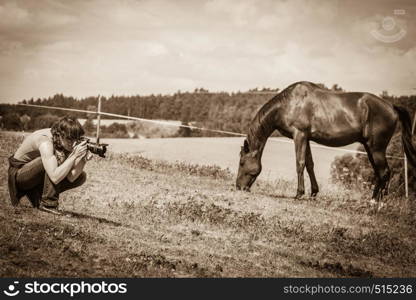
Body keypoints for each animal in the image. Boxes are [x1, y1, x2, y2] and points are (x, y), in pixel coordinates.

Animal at [236, 80, 414, 202]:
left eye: (242, 163)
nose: (238, 187)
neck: (289, 104)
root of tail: (391, 106)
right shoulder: (306, 138)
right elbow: (309, 165)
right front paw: (313, 192)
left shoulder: (299, 135)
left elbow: (300, 163)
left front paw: (299, 194)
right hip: (370, 148)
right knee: (380, 173)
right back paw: (373, 200)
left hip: (376, 148)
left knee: (384, 172)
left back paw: (377, 203)